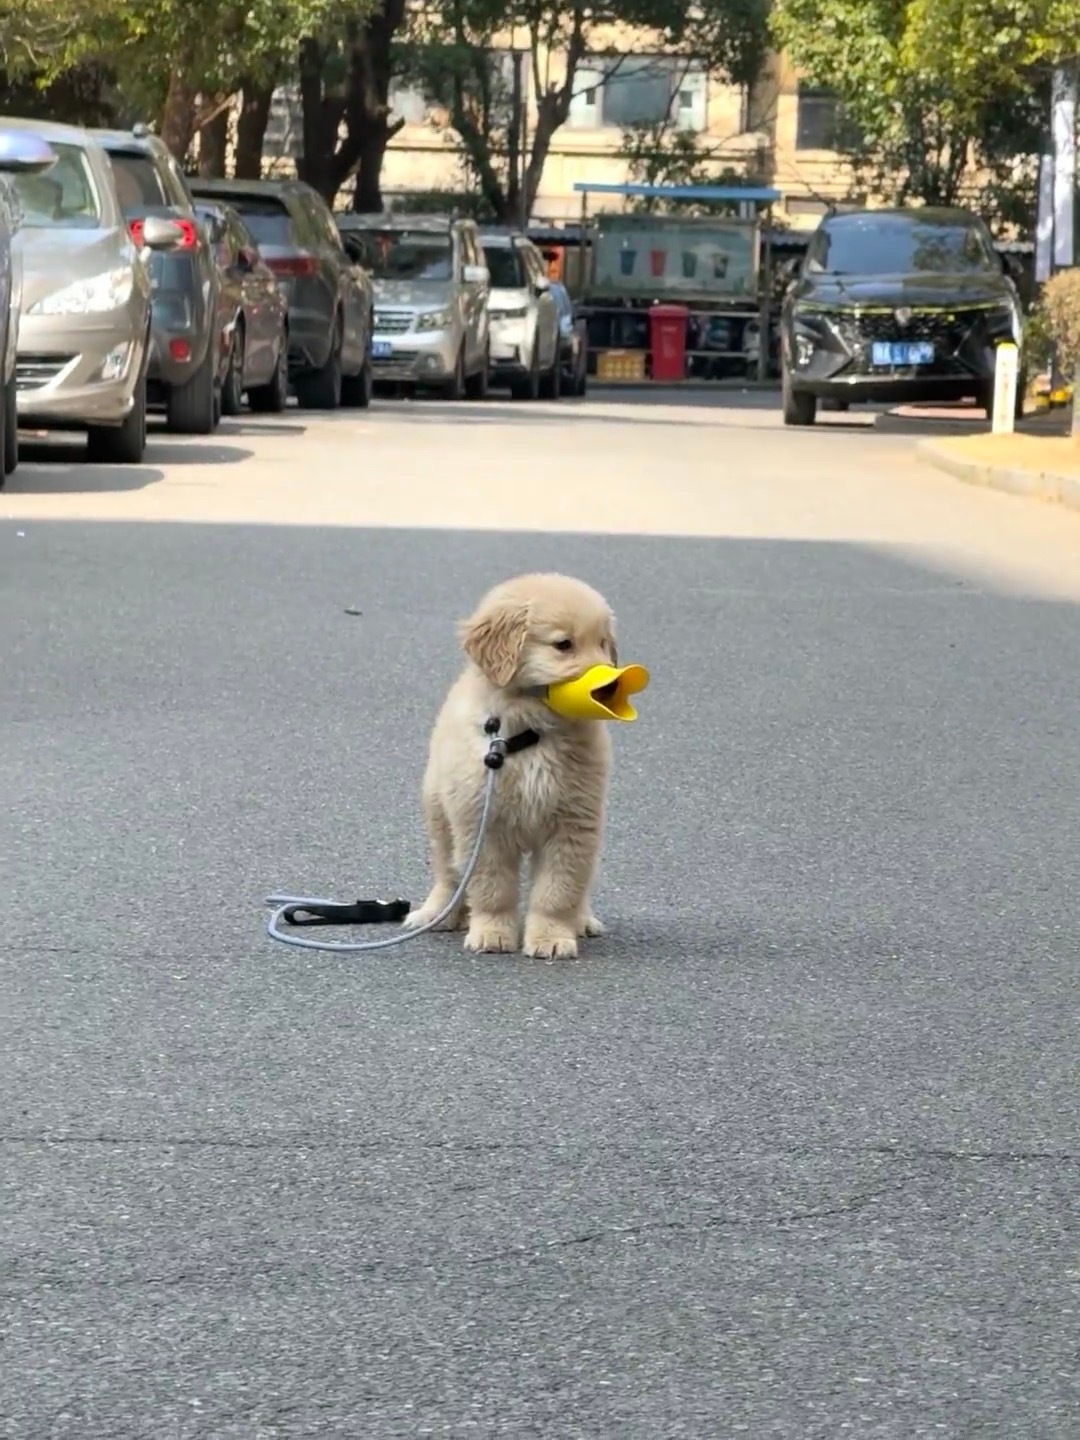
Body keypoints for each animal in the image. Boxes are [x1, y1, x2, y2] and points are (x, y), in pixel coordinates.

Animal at [406, 570, 622, 956]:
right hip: (439, 811)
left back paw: (582, 920)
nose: (609, 685)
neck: (532, 733)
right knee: (448, 873)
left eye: (602, 644)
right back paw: (436, 914)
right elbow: (492, 888)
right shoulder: (482, 822)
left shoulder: (573, 823)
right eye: (563, 644)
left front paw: (552, 937)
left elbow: (558, 890)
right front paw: (492, 933)